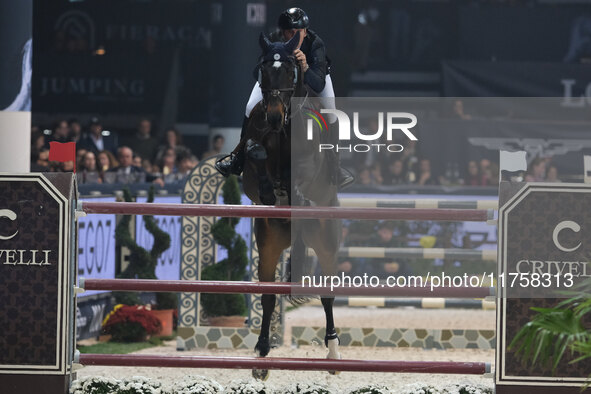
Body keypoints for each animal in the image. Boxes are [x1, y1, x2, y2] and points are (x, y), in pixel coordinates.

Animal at [240, 31, 342, 378]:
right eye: (263, 70)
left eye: (290, 71)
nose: (273, 117)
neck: (284, 129)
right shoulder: (251, 168)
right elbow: (255, 157)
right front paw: (271, 191)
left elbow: (300, 183)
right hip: (269, 245)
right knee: (269, 297)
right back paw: (261, 354)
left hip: (325, 243)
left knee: (327, 295)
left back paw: (334, 353)